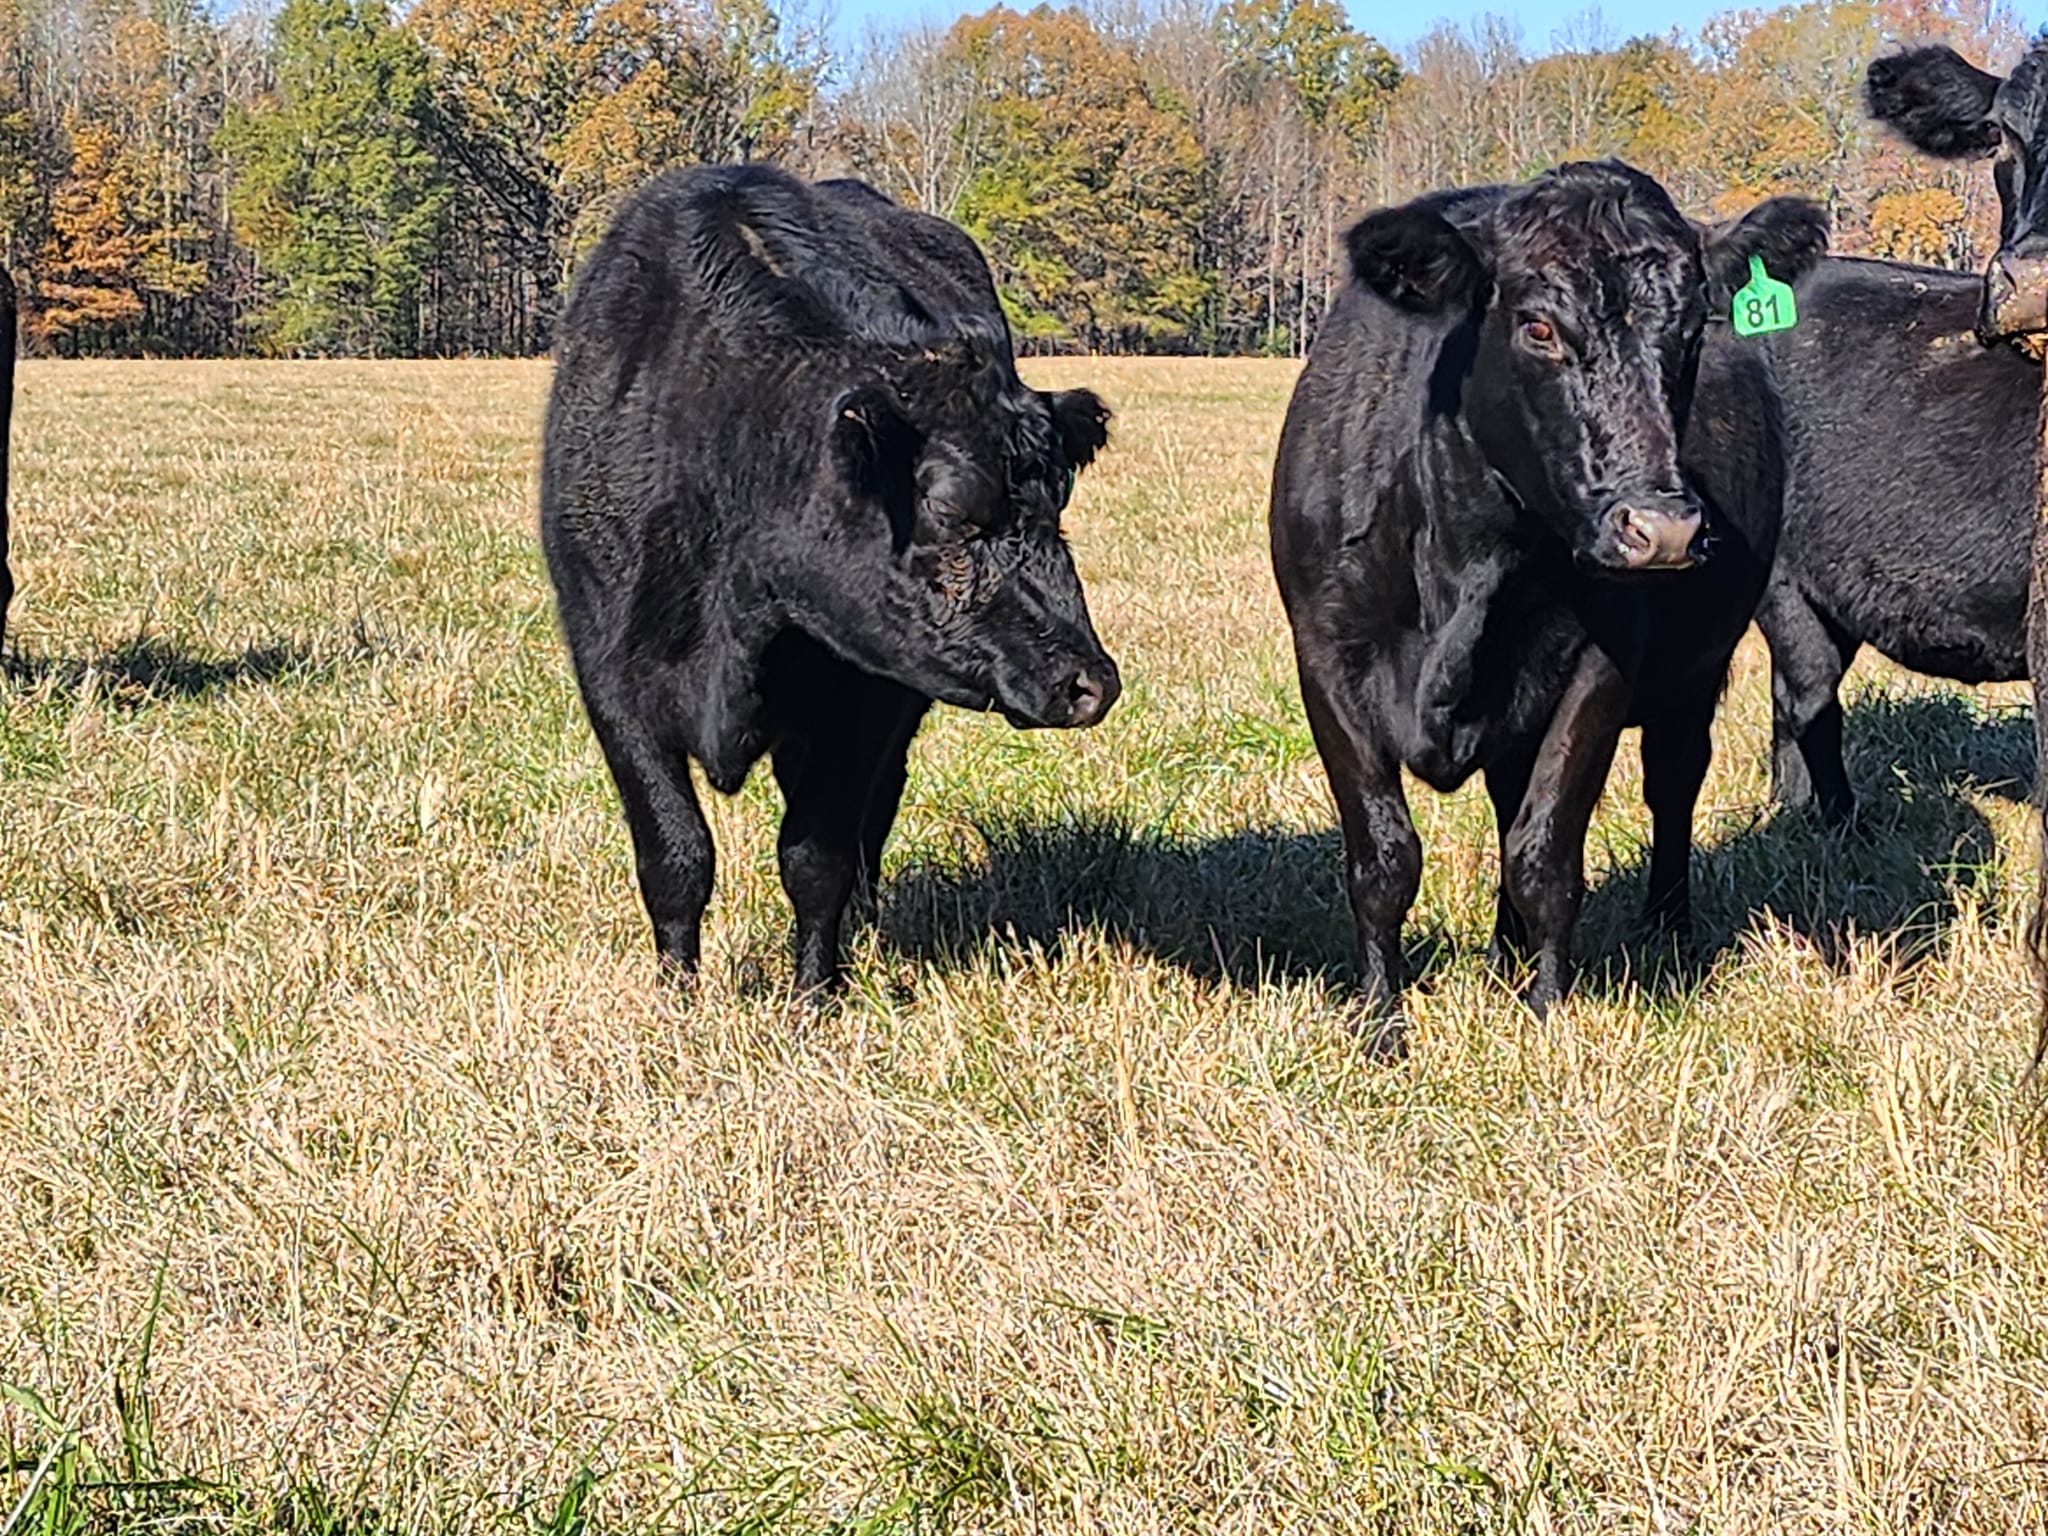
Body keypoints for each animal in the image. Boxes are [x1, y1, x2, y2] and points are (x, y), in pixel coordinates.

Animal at [544, 159, 1122, 999]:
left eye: (1061, 503)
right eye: (951, 511)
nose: (1090, 684)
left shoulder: (864, 693)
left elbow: (817, 857)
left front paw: (814, 997)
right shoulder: (613, 679)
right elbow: (675, 855)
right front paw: (677, 998)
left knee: (872, 818)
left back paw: (870, 928)